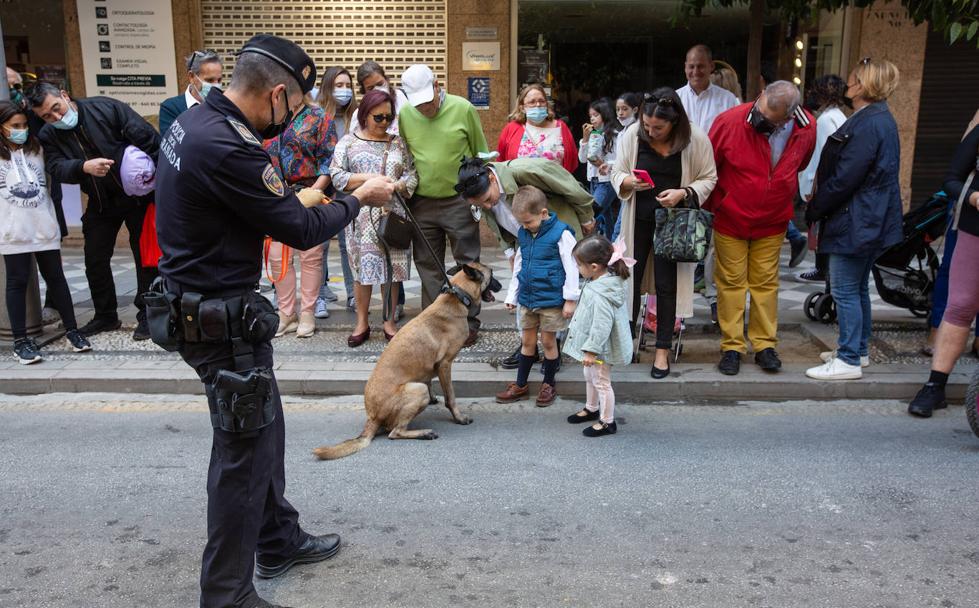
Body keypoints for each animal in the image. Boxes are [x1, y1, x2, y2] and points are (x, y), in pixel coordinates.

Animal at [314, 264, 502, 458]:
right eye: (492, 274)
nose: (502, 286)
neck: (456, 296)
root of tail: (372, 418)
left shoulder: (431, 368)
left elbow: (430, 380)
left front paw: (435, 398)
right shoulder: (445, 365)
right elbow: (451, 397)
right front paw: (458, 417)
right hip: (417, 390)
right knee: (394, 432)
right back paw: (424, 433)